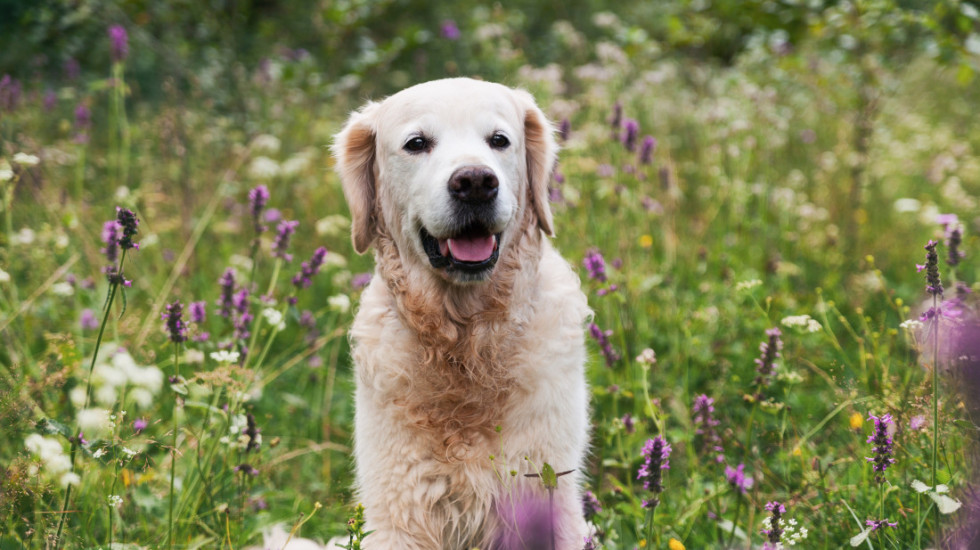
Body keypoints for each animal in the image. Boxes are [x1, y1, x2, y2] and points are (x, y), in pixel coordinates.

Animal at [334, 78, 588, 550]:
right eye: (417, 143)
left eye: (499, 140)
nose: (475, 182)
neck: (467, 342)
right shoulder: (398, 509)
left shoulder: (549, 493)